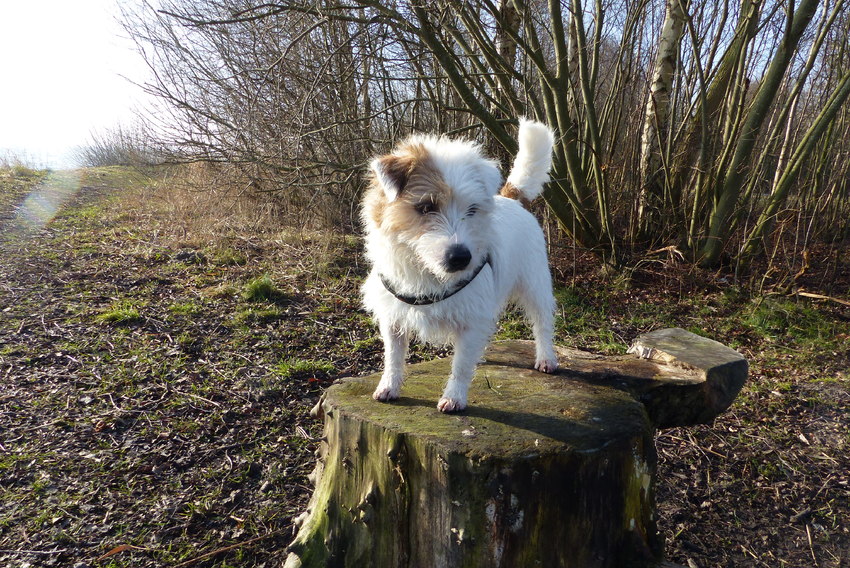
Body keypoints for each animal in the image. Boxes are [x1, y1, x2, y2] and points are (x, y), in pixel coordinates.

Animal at [360, 119, 559, 413]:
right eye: (426, 207)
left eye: (472, 209)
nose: (461, 257)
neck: (428, 275)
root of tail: (511, 198)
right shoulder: (393, 317)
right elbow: (393, 357)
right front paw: (389, 386)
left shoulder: (471, 318)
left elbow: (462, 364)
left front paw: (454, 397)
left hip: (535, 286)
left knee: (542, 322)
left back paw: (546, 357)